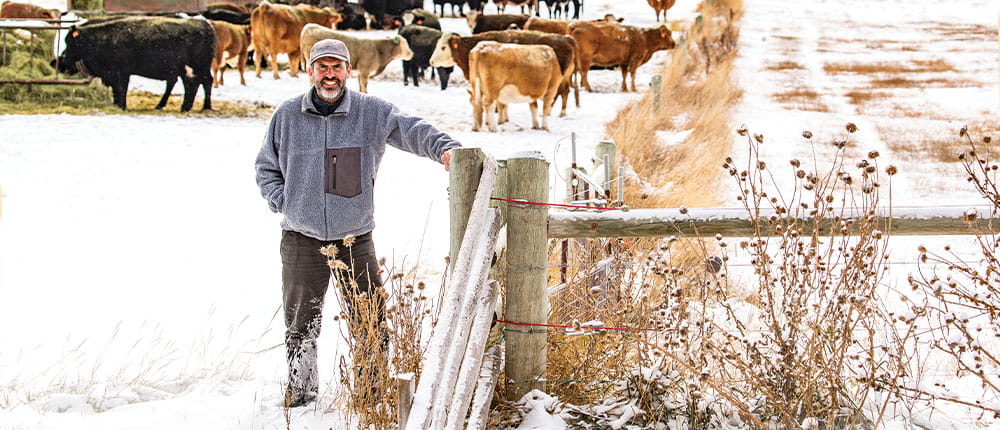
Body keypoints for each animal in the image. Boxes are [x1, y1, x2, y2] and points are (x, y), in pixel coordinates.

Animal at [57, 17, 215, 111]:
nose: (63, 59)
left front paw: (122, 106)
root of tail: (205, 24)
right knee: (198, 83)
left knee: (198, 83)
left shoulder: (121, 73)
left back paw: (195, 107)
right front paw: (117, 105)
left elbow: (121, 89)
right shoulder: (113, 74)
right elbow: (116, 90)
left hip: (195, 68)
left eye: (70, 42)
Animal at [429, 30, 578, 118]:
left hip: (559, 78)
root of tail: (566, 38)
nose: (431, 61)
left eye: (443, 47)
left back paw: (556, 112)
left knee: (560, 93)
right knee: (564, 92)